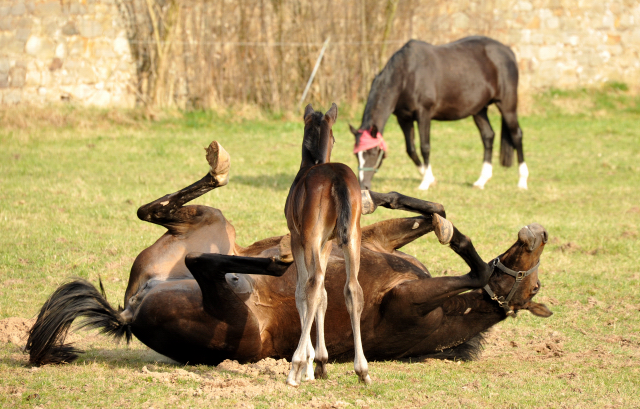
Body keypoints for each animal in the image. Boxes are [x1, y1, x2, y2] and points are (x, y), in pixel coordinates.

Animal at [26, 139, 552, 372]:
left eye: (533, 286)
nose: (538, 232)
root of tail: (129, 311)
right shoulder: (378, 243)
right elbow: (429, 212)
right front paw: (431, 219)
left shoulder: (405, 300)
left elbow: (476, 274)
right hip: (212, 224)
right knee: (156, 211)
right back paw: (223, 174)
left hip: (229, 306)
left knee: (202, 262)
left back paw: (276, 262)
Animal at [284, 103, 370, 384]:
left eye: (333, 138)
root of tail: (335, 177)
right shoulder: (329, 243)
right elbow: (324, 295)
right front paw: (320, 361)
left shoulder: (298, 238)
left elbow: (303, 291)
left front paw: (308, 363)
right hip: (352, 236)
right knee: (353, 289)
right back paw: (362, 370)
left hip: (310, 237)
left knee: (312, 284)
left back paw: (295, 367)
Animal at [352, 34, 528, 190]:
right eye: (356, 155)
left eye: (373, 152)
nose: (363, 186)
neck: (407, 74)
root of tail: (507, 51)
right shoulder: (404, 118)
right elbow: (411, 149)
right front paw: (430, 178)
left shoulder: (424, 114)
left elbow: (425, 147)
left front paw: (425, 182)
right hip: (479, 110)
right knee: (488, 136)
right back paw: (481, 181)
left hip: (507, 105)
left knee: (516, 135)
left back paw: (522, 181)